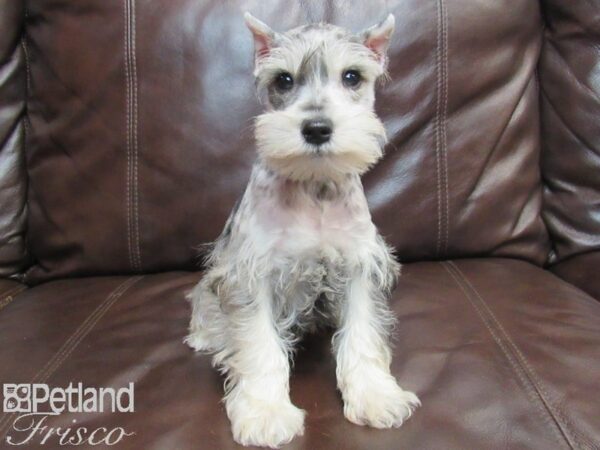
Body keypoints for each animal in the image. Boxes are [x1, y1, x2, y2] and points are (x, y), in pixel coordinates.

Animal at [185, 12, 420, 448]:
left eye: (352, 76)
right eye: (283, 80)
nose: (316, 128)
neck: (315, 187)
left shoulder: (360, 266)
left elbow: (362, 334)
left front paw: (376, 397)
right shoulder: (251, 273)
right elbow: (259, 344)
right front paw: (265, 412)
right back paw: (207, 333)